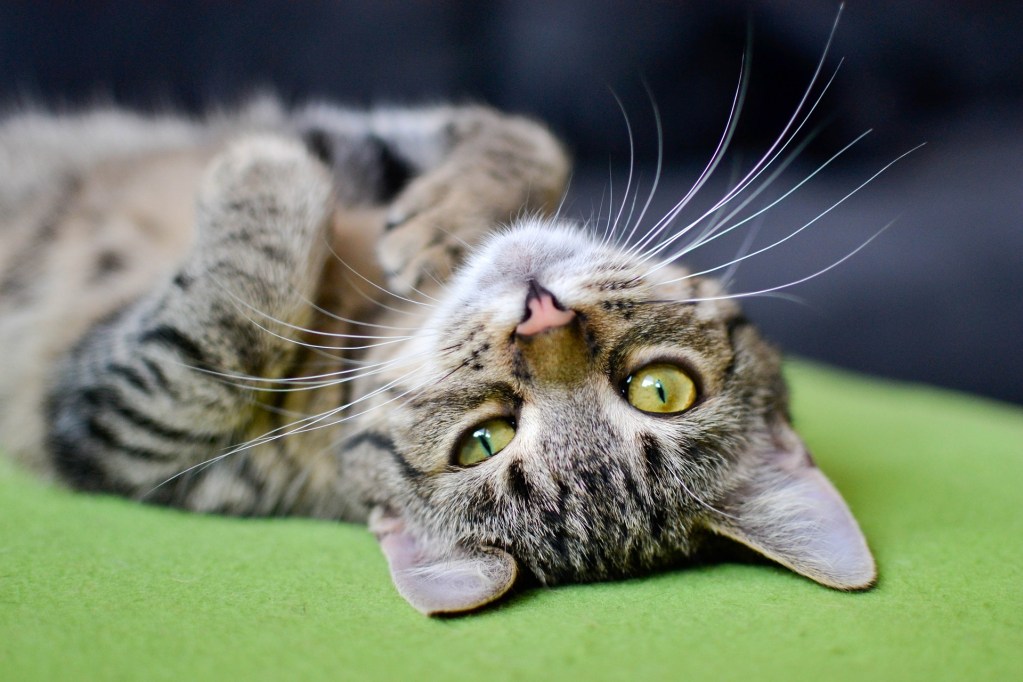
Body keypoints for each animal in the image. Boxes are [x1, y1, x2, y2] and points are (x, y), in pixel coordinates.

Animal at [0, 98, 875, 617]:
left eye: (479, 442)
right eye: (662, 389)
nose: (539, 315)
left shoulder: (117, 418)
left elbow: (220, 325)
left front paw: (265, 167)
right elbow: (530, 138)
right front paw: (445, 219)